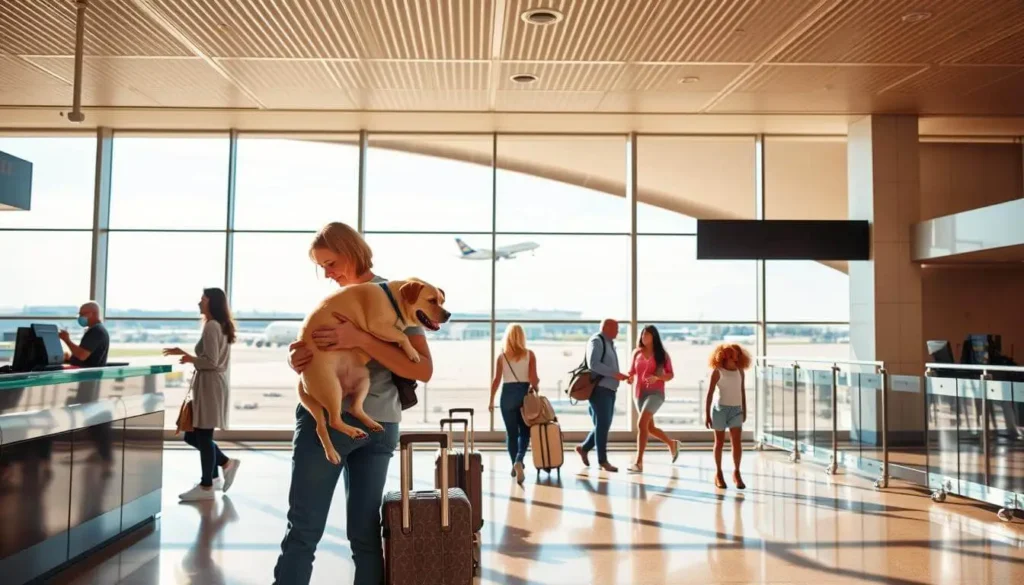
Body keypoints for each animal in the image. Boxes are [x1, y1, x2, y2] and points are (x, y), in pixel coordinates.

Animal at [294, 276, 446, 465]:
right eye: (431, 300)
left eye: (442, 301)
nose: (448, 314)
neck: (394, 300)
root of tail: (303, 380)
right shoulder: (377, 325)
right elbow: (402, 335)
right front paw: (412, 352)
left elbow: (400, 335)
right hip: (331, 388)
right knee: (333, 421)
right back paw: (350, 435)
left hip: (361, 382)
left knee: (341, 416)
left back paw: (361, 431)